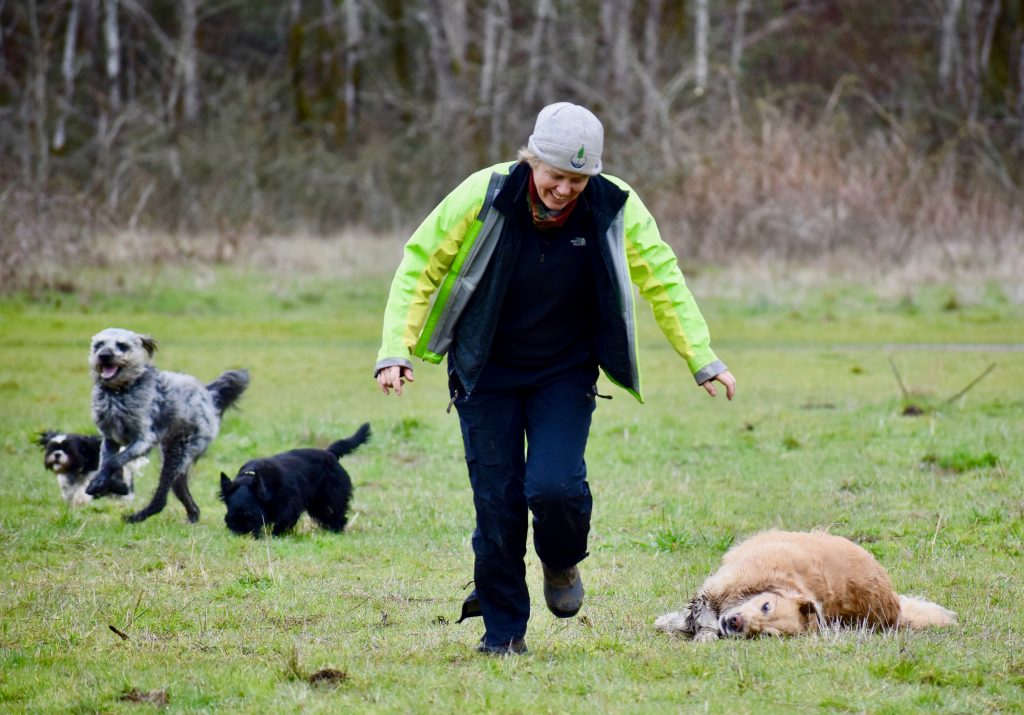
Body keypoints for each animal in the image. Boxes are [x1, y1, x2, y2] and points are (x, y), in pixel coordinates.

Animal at [86, 325, 249, 520]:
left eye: (121, 345)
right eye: (99, 344)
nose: (104, 355)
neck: (119, 392)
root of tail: (208, 394)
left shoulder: (143, 440)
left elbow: (114, 461)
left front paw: (103, 484)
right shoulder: (110, 440)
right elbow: (107, 462)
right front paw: (113, 484)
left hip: (177, 454)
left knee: (161, 499)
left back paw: (137, 517)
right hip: (175, 458)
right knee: (186, 496)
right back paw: (192, 517)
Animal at [220, 419, 372, 532]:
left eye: (251, 516)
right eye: (231, 518)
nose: (242, 533)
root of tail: (330, 453)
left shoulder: (289, 505)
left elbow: (283, 520)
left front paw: (277, 533)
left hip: (332, 498)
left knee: (336, 513)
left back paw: (336, 529)